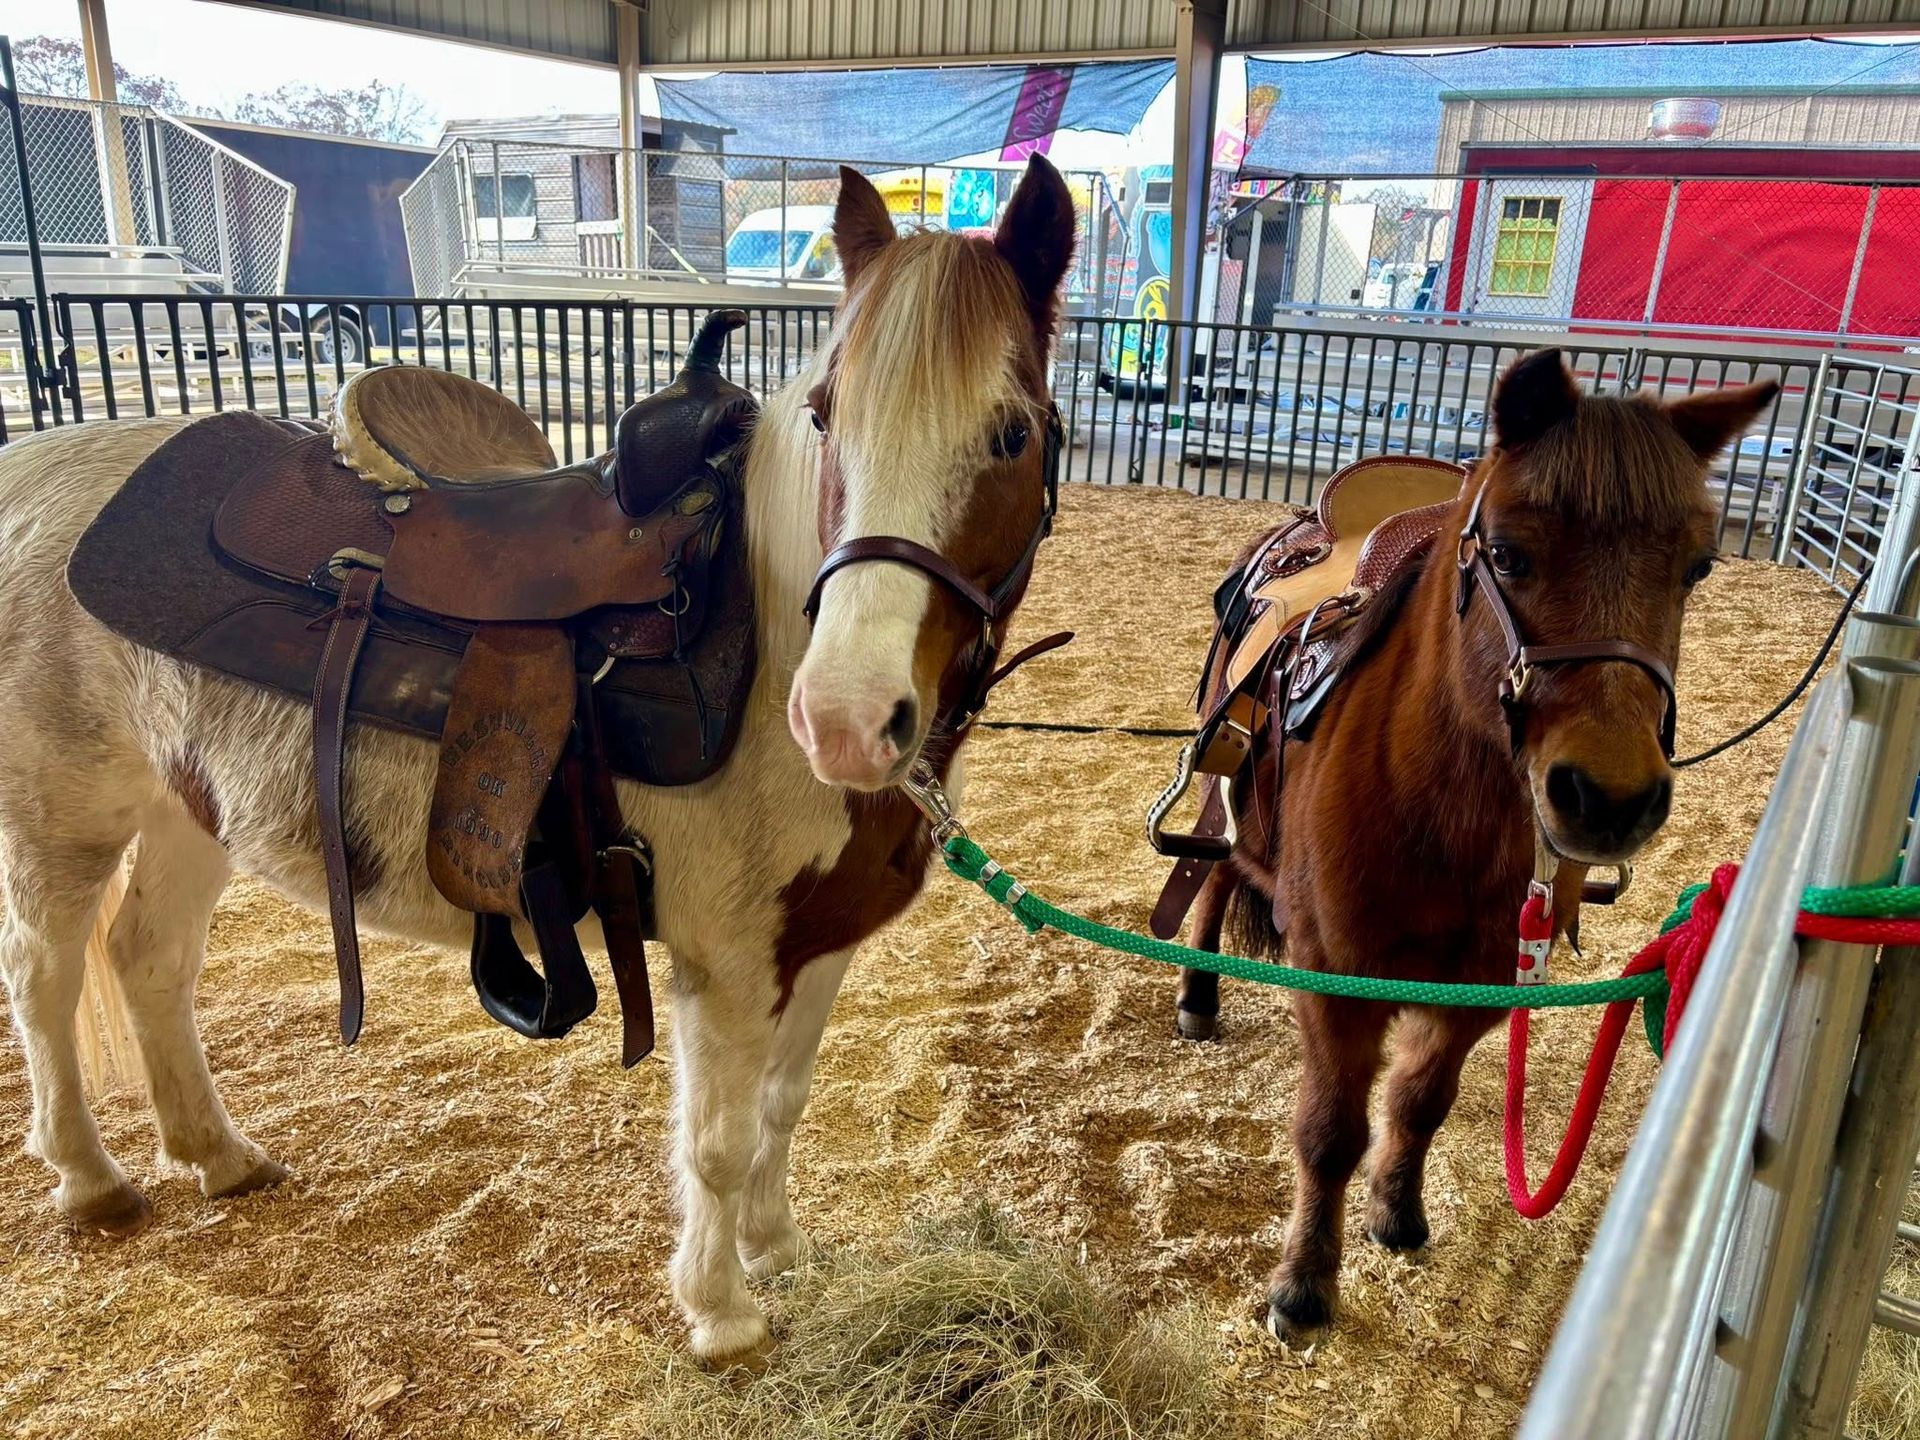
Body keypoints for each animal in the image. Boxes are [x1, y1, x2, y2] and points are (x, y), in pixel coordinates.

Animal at [0, 157, 1076, 1363]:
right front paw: (722, 1314)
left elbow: (781, 1109)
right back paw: (89, 1177)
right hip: (63, 822)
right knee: (44, 979)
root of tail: (28, 461)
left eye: (1012, 434)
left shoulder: (819, 944)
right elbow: (717, 1140)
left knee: (148, 960)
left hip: (187, 811)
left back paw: (216, 1154)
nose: (843, 719)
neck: (766, 640)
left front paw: (777, 1251)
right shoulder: (728, 960)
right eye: (826, 417)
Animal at [1167, 350, 1778, 1336]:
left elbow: (1420, 1102)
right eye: (1511, 552)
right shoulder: (1337, 980)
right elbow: (1330, 1133)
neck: (1444, 810)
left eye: (1698, 566)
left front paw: (1396, 1214)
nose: (1608, 797)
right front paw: (1303, 1285)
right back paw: (1198, 994)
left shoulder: (1480, 983)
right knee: (1218, 878)